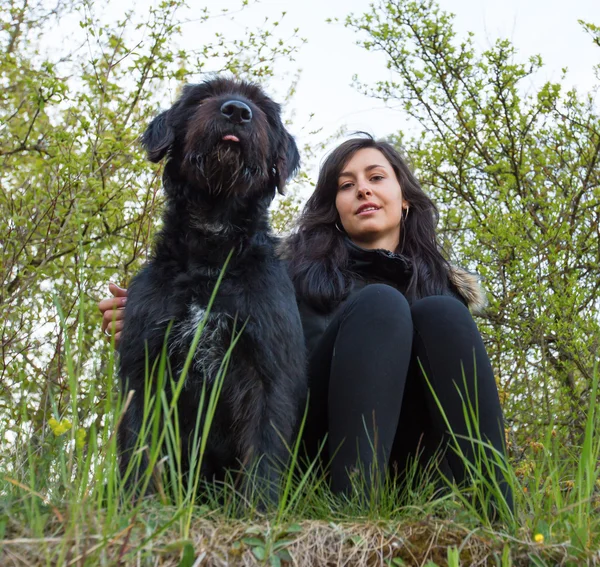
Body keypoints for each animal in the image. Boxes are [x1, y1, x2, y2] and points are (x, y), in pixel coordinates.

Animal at [116, 76, 304, 506]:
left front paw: (259, 509)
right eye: (206, 95)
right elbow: (139, 444)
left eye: (261, 107)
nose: (236, 111)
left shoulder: (266, 369)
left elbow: (264, 449)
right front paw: (137, 505)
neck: (211, 256)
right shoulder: (143, 366)